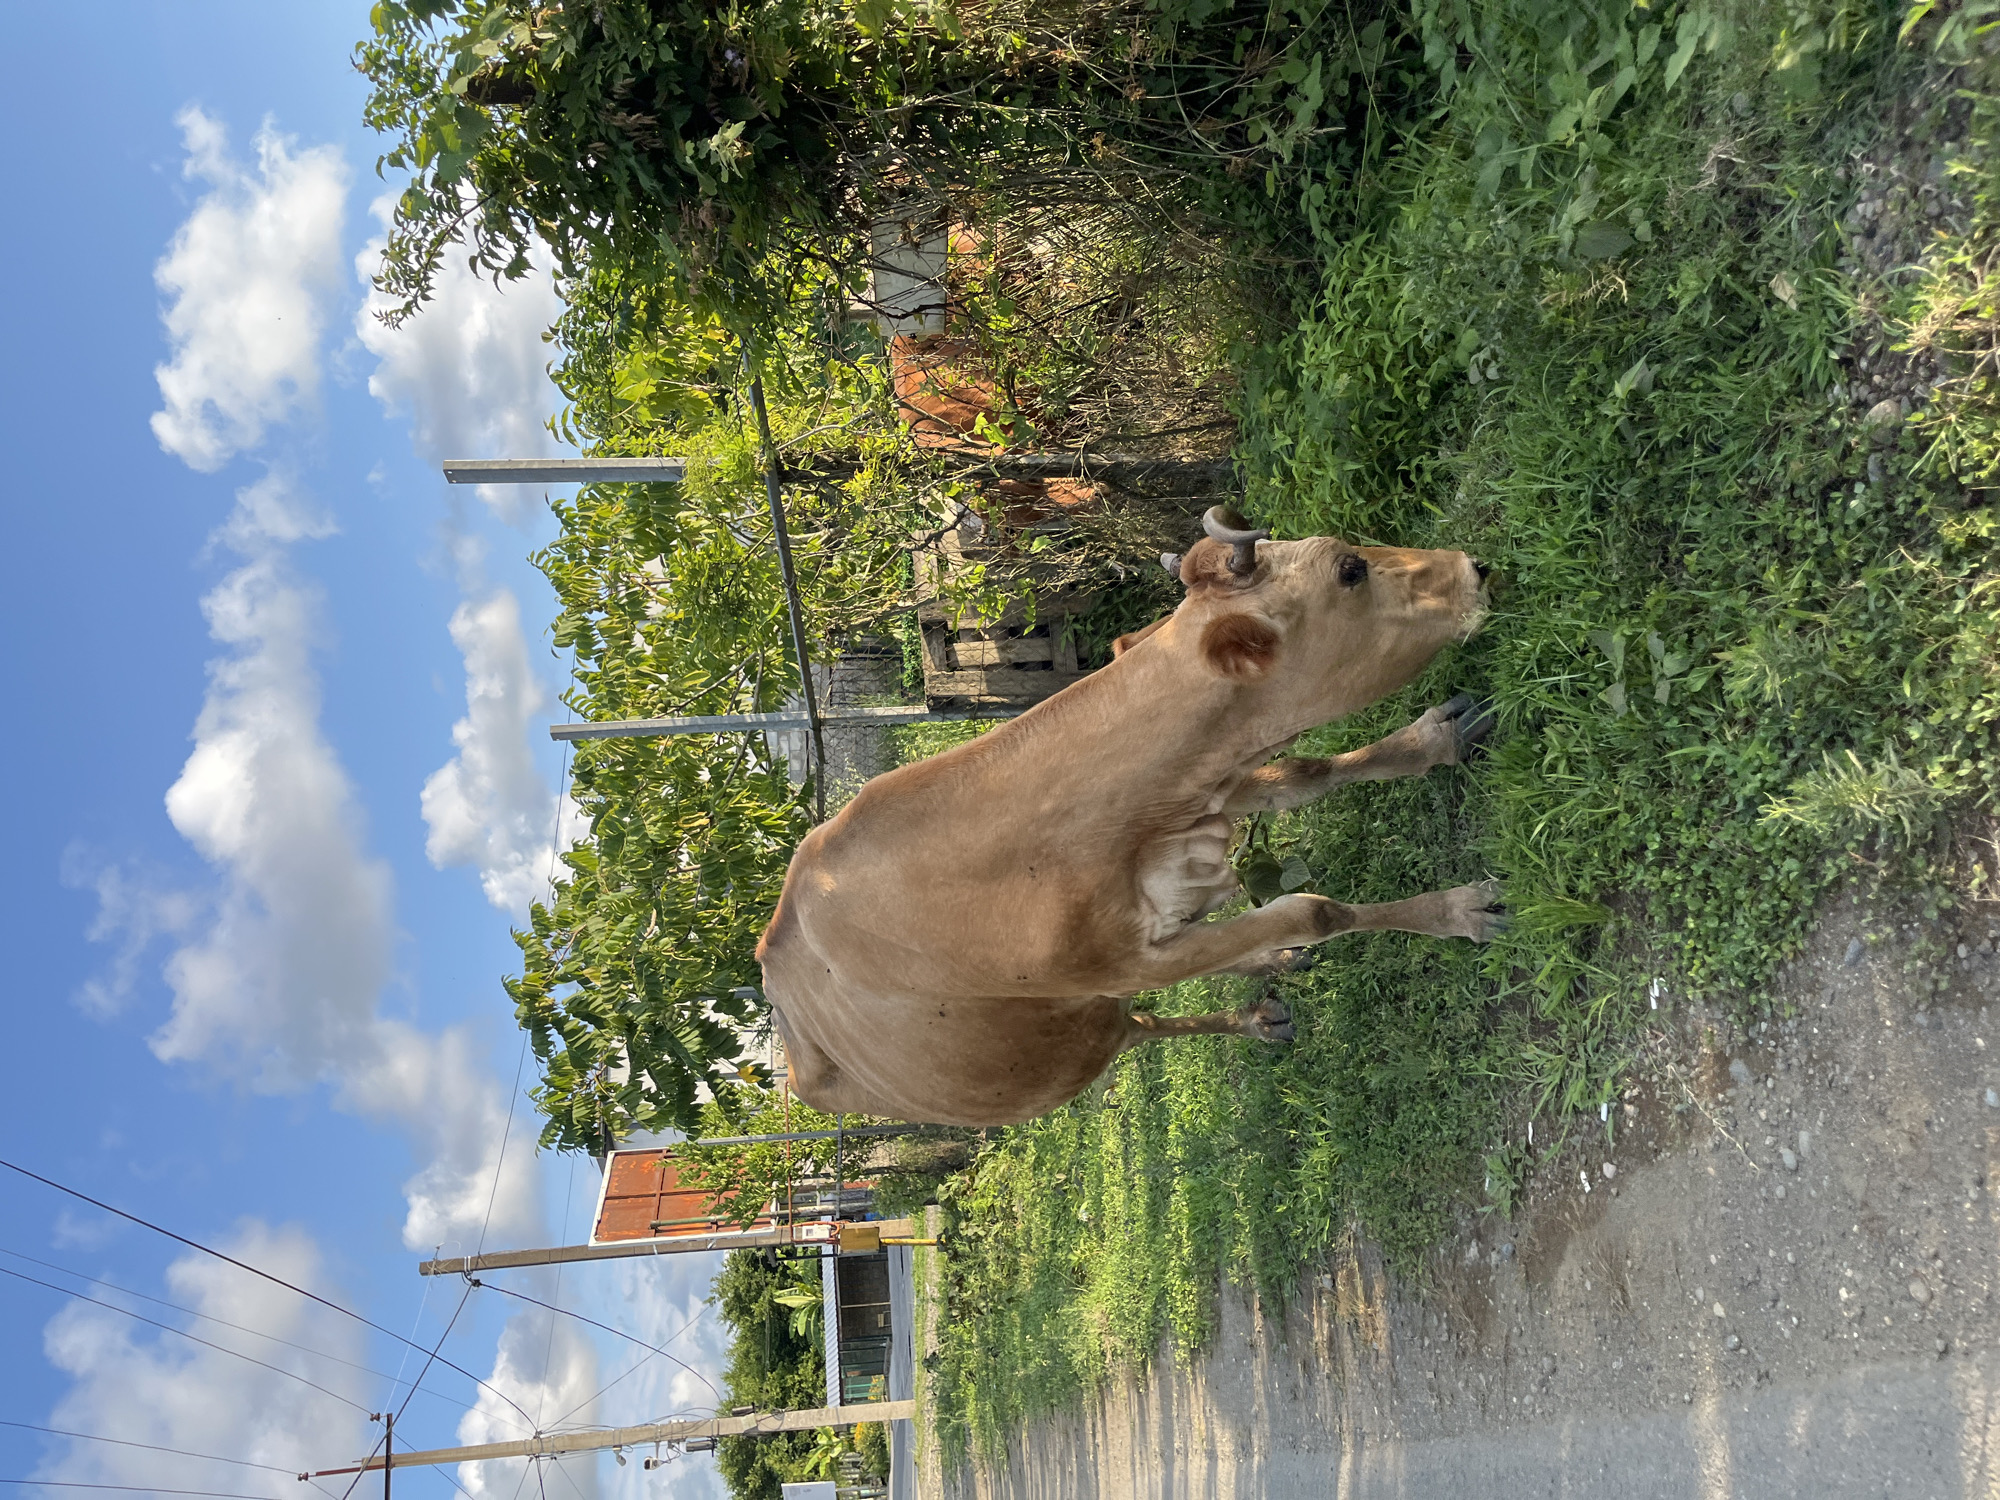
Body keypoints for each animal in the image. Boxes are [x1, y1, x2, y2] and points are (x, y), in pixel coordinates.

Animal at [756, 507, 1502, 1126]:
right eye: (1349, 569)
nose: (1476, 565)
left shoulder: (1207, 798)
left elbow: (1305, 775)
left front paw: (1433, 742)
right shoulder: (1126, 964)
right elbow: (1316, 911)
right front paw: (1459, 910)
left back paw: (1269, 961)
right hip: (1079, 1042)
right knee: (1140, 1029)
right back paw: (1255, 1016)